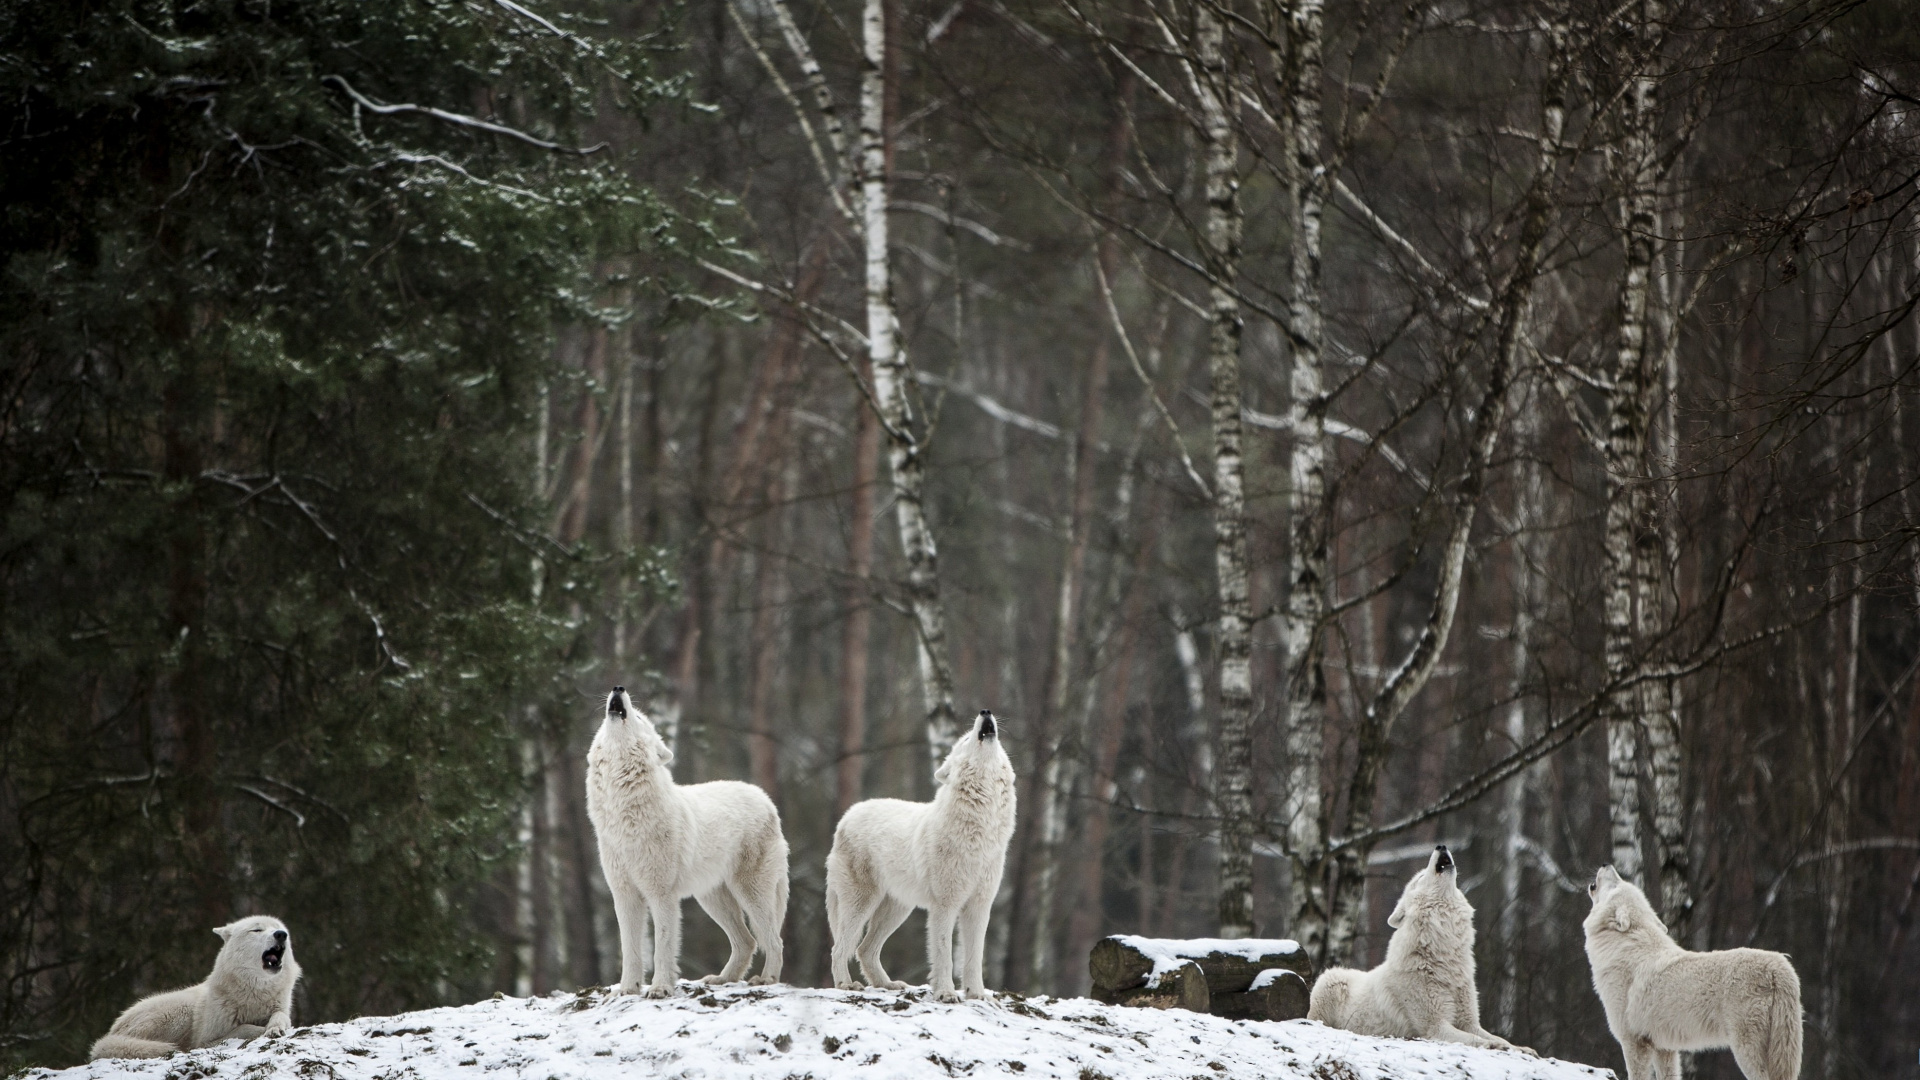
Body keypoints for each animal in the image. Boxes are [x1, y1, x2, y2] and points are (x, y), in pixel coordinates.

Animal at [89, 915, 300, 1060]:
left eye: (279, 929)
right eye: (257, 930)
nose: (281, 935)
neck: (255, 993)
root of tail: (111, 1033)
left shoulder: (280, 1008)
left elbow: (281, 1016)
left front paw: (275, 1028)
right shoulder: (206, 1040)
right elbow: (244, 1028)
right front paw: (261, 1029)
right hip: (180, 1011)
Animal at [586, 686, 788, 997]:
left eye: (640, 718)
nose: (618, 688)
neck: (624, 816)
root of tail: (765, 799)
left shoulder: (662, 895)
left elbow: (662, 946)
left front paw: (660, 988)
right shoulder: (624, 895)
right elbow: (630, 949)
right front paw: (628, 989)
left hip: (751, 893)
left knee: (773, 940)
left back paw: (766, 980)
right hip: (712, 899)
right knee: (747, 942)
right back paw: (722, 979)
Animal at [826, 710, 1017, 1002]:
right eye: (964, 740)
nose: (985, 712)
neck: (980, 832)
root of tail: (847, 816)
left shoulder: (980, 906)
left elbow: (974, 957)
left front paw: (977, 994)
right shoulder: (944, 905)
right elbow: (944, 954)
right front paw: (946, 993)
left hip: (897, 910)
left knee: (864, 950)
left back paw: (887, 984)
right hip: (861, 904)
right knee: (840, 948)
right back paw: (846, 985)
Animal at [1308, 846, 1531, 1053]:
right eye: (1421, 877)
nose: (1441, 846)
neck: (1444, 958)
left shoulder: (1469, 1022)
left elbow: (1495, 1036)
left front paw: (1521, 1048)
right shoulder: (1436, 1027)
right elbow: (1477, 1039)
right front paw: (1495, 1045)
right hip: (1330, 980)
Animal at [1584, 866, 1801, 1080]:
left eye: (1616, 884)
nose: (1606, 865)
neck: (1626, 946)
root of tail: (1779, 967)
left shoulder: (1633, 1042)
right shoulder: (1664, 1048)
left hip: (1746, 1050)